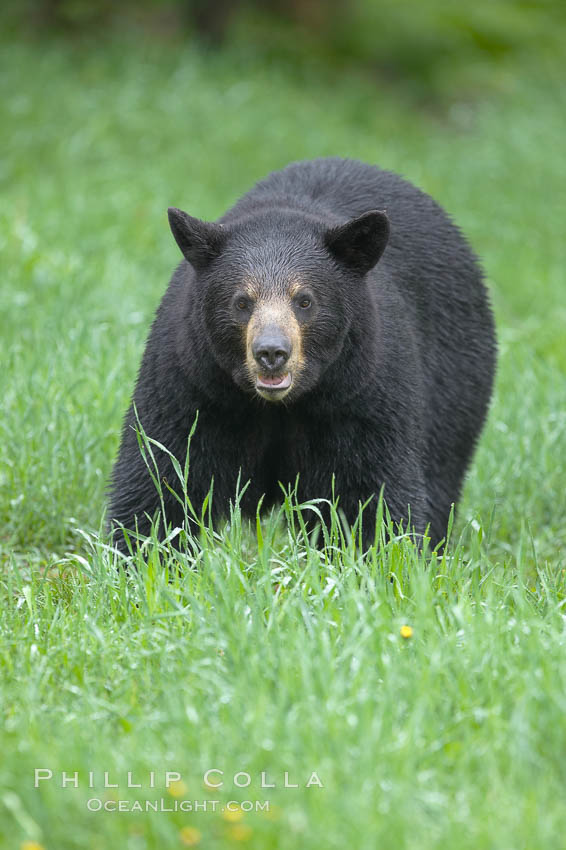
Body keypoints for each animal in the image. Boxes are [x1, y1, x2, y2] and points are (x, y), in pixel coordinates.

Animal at [108, 157, 500, 548]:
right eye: (242, 301)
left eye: (305, 300)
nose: (271, 352)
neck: (280, 406)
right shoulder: (192, 383)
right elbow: (161, 475)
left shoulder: (363, 394)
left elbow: (372, 492)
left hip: (456, 378)